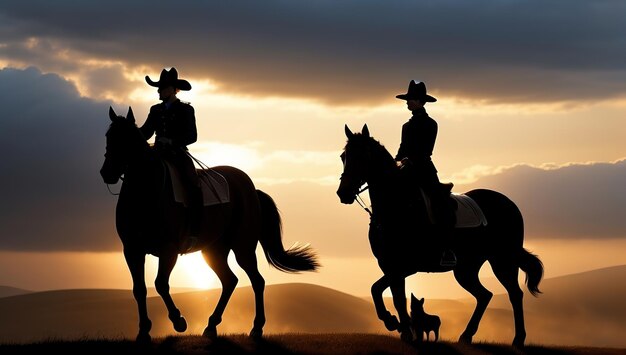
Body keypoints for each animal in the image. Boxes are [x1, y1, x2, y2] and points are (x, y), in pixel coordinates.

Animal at [102, 107, 320, 344]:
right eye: (108, 136)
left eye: (127, 140)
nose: (107, 173)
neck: (144, 194)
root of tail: (251, 188)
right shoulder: (132, 250)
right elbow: (139, 289)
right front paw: (143, 331)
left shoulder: (168, 250)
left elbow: (160, 284)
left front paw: (179, 321)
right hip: (213, 250)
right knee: (230, 280)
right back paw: (211, 326)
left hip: (243, 247)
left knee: (257, 281)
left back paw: (256, 328)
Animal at [336, 124, 540, 348]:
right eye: (343, 156)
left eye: (363, 156)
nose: (343, 193)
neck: (396, 206)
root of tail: (510, 204)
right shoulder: (389, 264)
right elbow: (385, 293)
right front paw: (397, 325)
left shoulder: (407, 266)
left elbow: (388, 293)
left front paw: (398, 325)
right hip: (467, 268)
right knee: (484, 295)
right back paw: (466, 335)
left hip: (503, 259)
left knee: (514, 294)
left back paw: (518, 339)